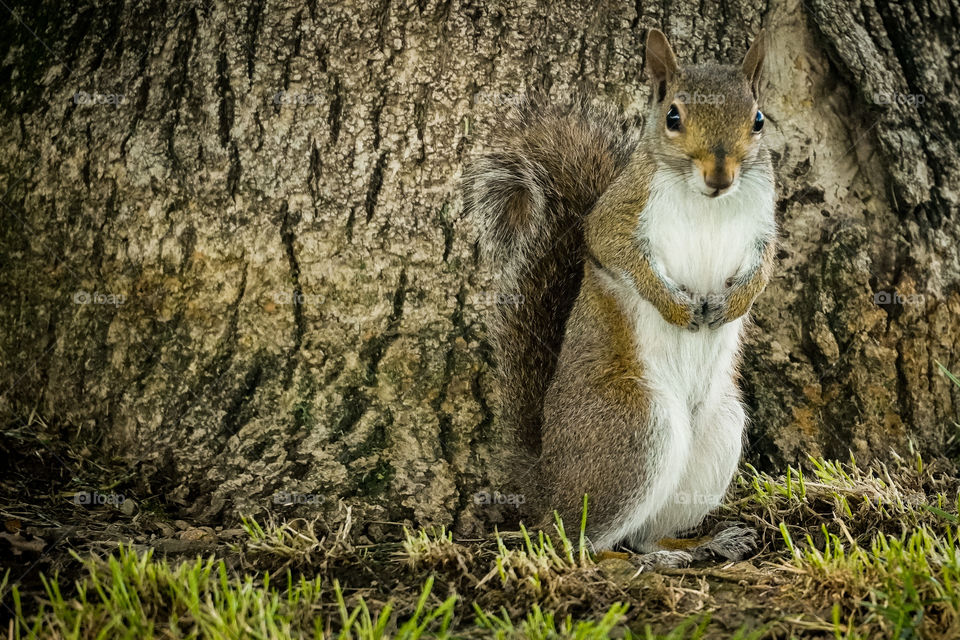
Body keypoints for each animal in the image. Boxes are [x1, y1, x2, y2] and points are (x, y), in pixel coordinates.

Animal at [464, 29, 775, 563]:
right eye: (673, 117)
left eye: (758, 120)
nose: (720, 176)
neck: (707, 201)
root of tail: (548, 485)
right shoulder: (617, 216)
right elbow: (616, 254)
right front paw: (675, 306)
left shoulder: (764, 224)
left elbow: (766, 268)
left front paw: (736, 303)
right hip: (635, 428)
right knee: (576, 541)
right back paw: (636, 558)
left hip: (718, 431)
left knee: (644, 531)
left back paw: (700, 543)